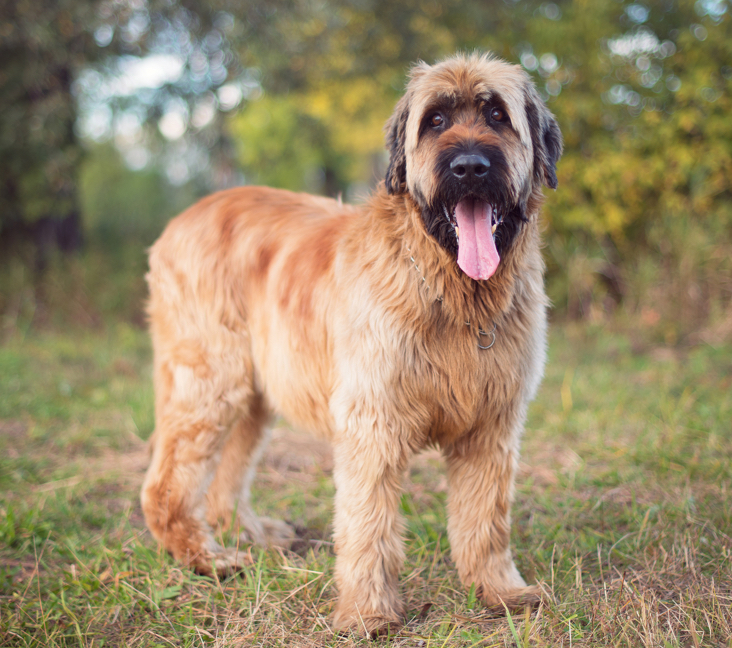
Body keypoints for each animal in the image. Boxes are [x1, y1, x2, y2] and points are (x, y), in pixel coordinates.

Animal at [143, 53, 564, 636]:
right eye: (435, 120)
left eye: (497, 115)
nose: (469, 167)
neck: (452, 293)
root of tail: (180, 222)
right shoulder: (373, 421)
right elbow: (369, 524)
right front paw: (367, 613)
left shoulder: (491, 425)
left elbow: (486, 519)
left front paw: (500, 591)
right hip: (210, 380)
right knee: (167, 484)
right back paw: (207, 558)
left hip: (254, 393)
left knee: (228, 477)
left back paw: (251, 533)